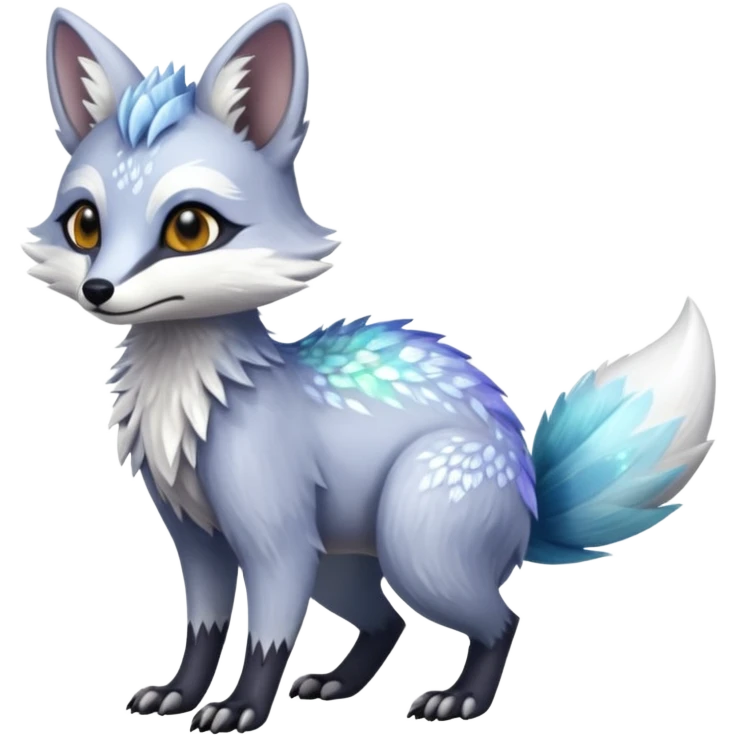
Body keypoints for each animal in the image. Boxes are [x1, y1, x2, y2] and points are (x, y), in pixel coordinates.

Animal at [24, 4, 718, 734]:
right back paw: (339, 683)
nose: (99, 290)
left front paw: (241, 709)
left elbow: (266, 636)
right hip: (340, 561)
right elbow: (206, 628)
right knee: (390, 622)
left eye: (190, 227)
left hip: (413, 538)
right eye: (84, 225)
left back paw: (460, 700)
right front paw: (179, 695)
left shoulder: (276, 538)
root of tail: (532, 496)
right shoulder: (197, 536)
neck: (189, 400)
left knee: (501, 619)